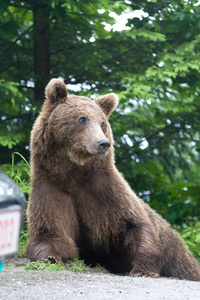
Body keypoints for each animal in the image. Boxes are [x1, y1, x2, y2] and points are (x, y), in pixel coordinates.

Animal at [26, 78, 200, 282]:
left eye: (102, 122)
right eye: (82, 118)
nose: (103, 144)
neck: (74, 173)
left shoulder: (105, 190)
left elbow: (134, 225)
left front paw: (142, 270)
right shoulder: (52, 189)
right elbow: (49, 232)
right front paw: (51, 257)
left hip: (179, 256)